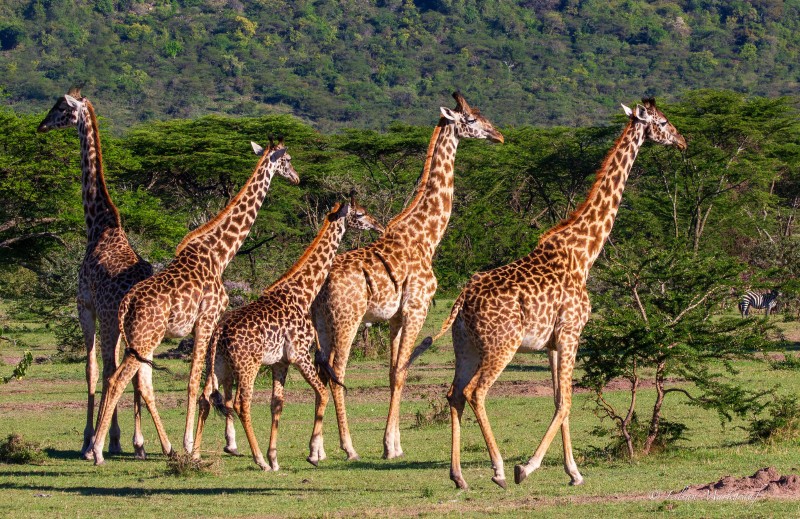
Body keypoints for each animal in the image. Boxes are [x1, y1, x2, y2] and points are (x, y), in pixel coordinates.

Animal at [37, 89, 153, 459]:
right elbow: (109, 369)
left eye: (61, 108)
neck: (99, 226)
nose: (41, 125)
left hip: (111, 319)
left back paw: (107, 444)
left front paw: (91, 437)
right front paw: (116, 438)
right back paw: (138, 443)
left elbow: (92, 369)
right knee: (137, 370)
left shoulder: (85, 306)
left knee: (115, 369)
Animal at [87, 138, 299, 464]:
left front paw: (222, 442)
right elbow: (195, 380)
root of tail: (127, 301)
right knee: (119, 379)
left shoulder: (211, 325)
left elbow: (212, 381)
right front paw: (190, 445)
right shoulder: (207, 320)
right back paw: (98, 450)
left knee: (120, 379)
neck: (220, 254)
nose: (297, 178)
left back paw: (105, 447)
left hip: (138, 339)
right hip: (146, 338)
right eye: (286, 159)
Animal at [192, 195, 384, 471]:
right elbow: (322, 393)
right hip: (247, 365)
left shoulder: (280, 362)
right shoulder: (300, 354)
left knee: (205, 398)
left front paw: (275, 457)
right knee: (240, 403)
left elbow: (277, 404)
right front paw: (312, 455)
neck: (303, 291)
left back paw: (195, 455)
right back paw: (258, 459)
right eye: (359, 214)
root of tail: (219, 331)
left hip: (217, 363)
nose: (378, 225)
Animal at [311, 92, 504, 460]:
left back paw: (317, 449)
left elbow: (391, 372)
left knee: (321, 370)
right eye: (472, 119)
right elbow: (401, 371)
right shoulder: (417, 308)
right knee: (337, 370)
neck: (426, 236)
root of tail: (322, 281)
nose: (499, 136)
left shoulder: (396, 317)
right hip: (347, 319)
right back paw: (348, 447)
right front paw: (389, 446)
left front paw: (396, 442)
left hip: (322, 324)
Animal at [407, 98, 686, 489]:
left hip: (465, 346)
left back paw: (458, 476)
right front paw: (527, 467)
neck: (584, 253)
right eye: (661, 122)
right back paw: (498, 470)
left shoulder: (554, 343)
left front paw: (574, 472)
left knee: (454, 394)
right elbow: (567, 401)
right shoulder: (571, 333)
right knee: (476, 392)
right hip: (502, 344)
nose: (682, 141)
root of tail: (463, 299)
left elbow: (558, 400)